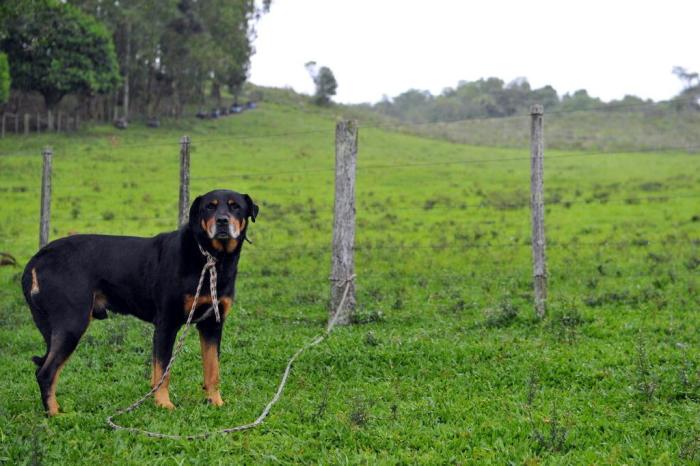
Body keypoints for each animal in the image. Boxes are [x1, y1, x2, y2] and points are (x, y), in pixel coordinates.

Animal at [20, 188, 258, 416]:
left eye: (235, 207)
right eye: (210, 207)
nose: (222, 221)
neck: (211, 258)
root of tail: (39, 257)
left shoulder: (212, 325)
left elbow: (212, 370)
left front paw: (215, 402)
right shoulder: (166, 324)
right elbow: (162, 372)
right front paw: (163, 404)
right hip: (72, 322)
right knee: (45, 372)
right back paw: (55, 415)